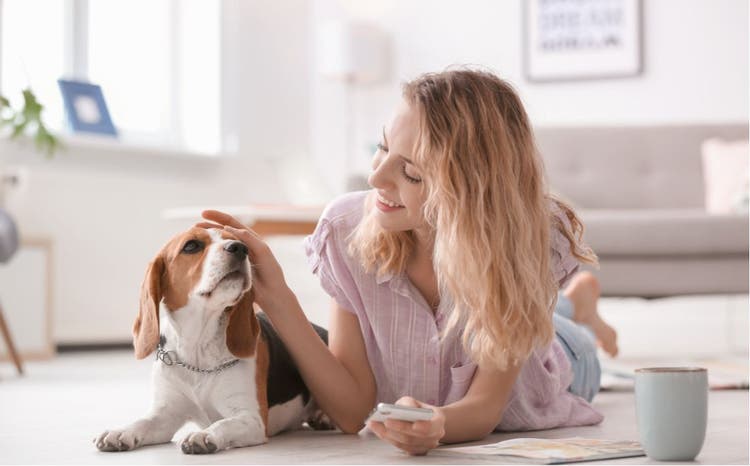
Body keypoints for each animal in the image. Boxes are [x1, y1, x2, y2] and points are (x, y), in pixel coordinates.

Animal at [95, 228, 330, 454]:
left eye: (237, 240)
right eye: (191, 246)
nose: (240, 248)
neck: (198, 347)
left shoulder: (251, 419)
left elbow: (222, 424)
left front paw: (203, 435)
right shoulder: (165, 415)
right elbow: (143, 422)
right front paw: (121, 432)